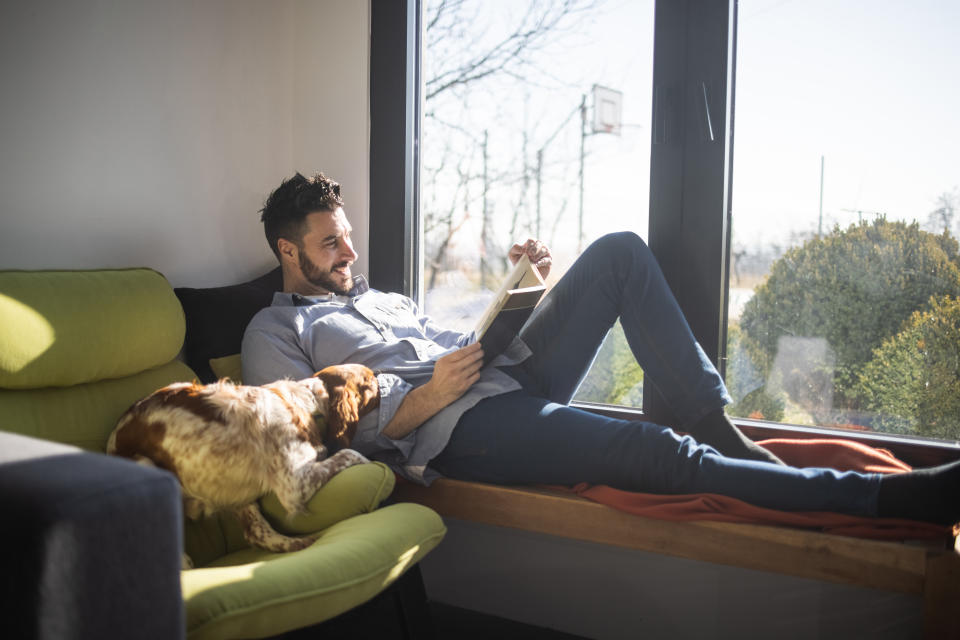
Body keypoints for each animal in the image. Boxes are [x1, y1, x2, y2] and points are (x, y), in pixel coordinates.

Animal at [108, 362, 378, 564]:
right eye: (369, 380)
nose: (380, 374)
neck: (306, 403)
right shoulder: (294, 484)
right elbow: (352, 454)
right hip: (147, 467)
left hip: (232, 489)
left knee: (256, 532)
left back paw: (296, 543)